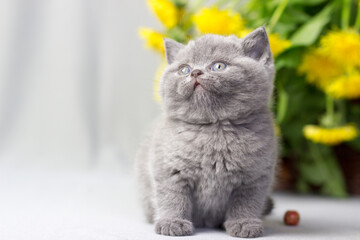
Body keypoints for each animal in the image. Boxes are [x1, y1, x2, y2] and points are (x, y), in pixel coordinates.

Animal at [135, 27, 278, 237]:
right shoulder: (168, 169)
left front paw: (244, 224)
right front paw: (172, 223)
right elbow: (172, 197)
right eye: (184, 69)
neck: (214, 128)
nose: (195, 72)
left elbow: (246, 203)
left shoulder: (255, 177)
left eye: (218, 66)